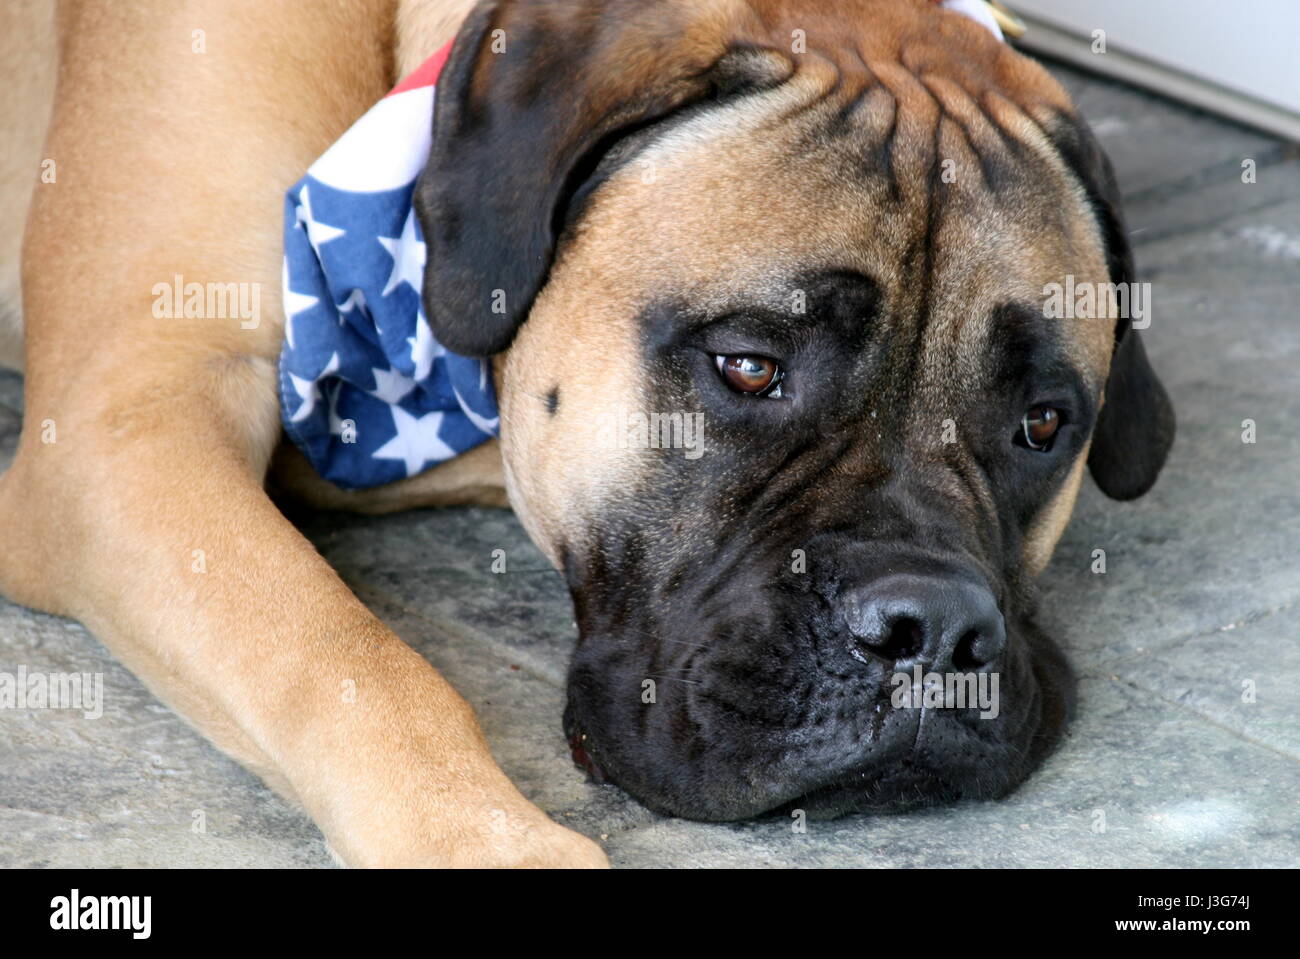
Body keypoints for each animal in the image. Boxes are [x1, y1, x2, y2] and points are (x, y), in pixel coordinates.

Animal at [0, 0, 1175, 868]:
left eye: (1042, 423)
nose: (931, 630)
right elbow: (336, 650)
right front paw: (485, 838)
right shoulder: (130, 420)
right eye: (749, 365)